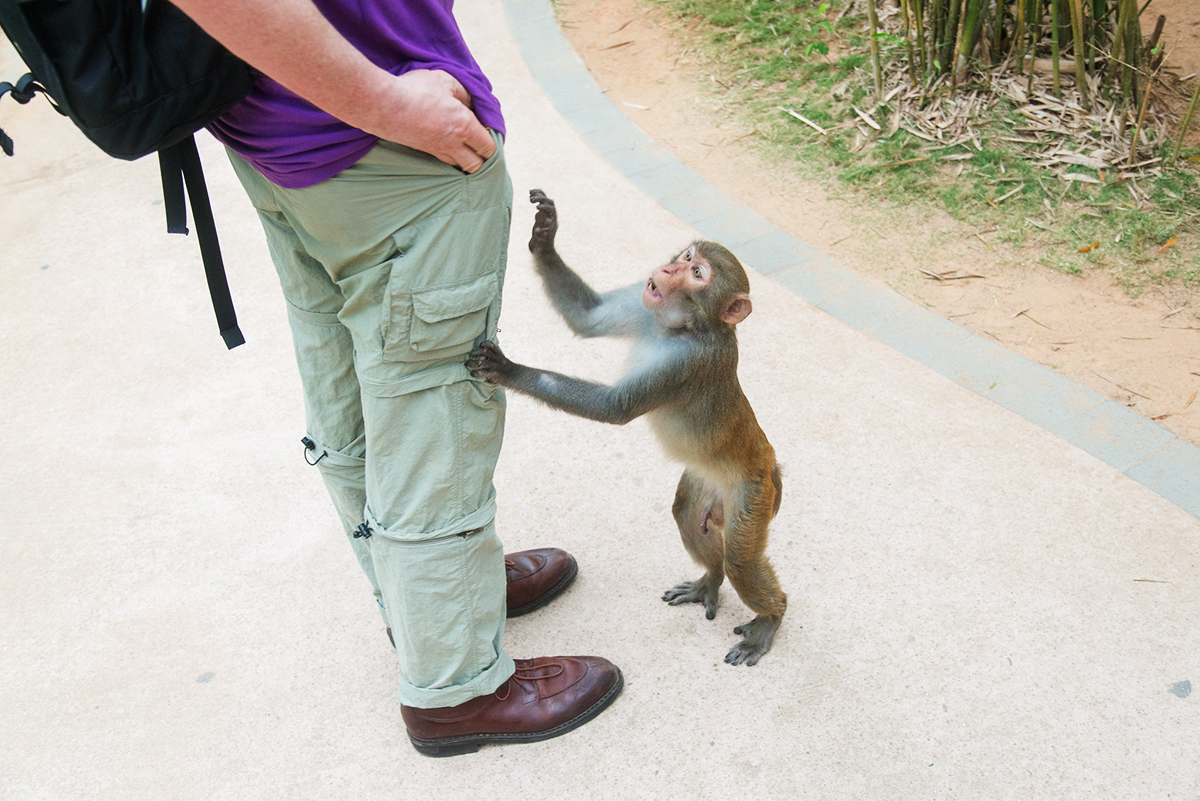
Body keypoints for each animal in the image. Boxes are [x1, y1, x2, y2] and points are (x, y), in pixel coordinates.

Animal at [465, 190, 787, 666]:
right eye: (688, 258)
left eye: (697, 274)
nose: (667, 271)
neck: (679, 327)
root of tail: (772, 468)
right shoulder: (642, 305)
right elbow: (590, 316)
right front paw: (545, 236)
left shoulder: (685, 364)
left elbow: (614, 408)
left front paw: (509, 370)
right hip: (706, 485)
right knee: (688, 515)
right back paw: (710, 578)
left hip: (753, 494)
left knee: (741, 562)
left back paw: (771, 616)